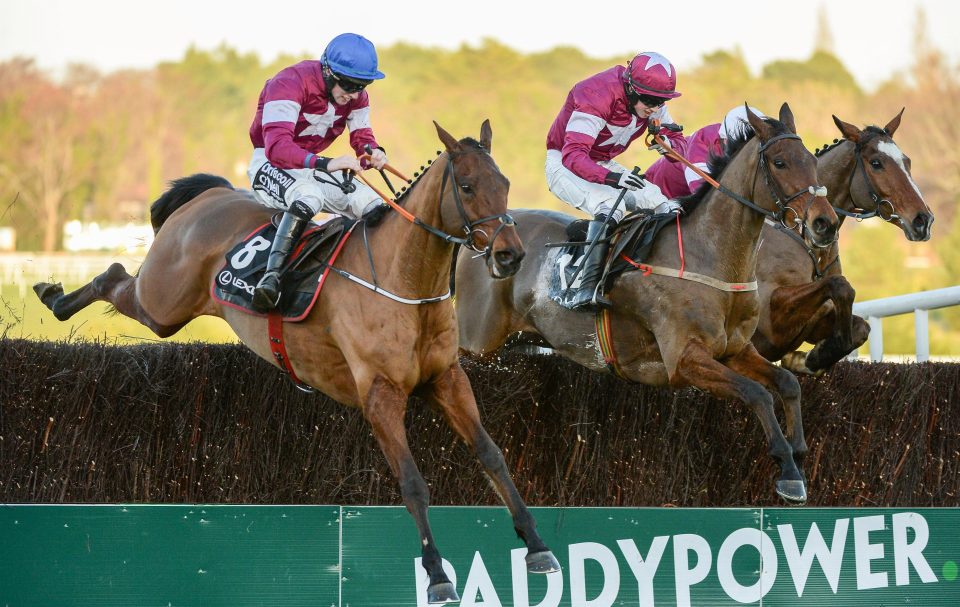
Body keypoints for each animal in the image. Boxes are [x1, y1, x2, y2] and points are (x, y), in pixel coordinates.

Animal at [37, 121, 560, 604]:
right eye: (467, 186)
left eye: (504, 182)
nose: (510, 255)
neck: (403, 280)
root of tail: (213, 194)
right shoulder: (380, 394)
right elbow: (412, 483)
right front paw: (436, 575)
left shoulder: (447, 379)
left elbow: (492, 456)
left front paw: (537, 545)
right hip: (162, 302)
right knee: (113, 274)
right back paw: (54, 296)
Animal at [454, 103, 836, 504]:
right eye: (780, 162)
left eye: (812, 159)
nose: (825, 222)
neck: (709, 255)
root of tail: (482, 237)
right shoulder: (685, 360)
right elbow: (758, 394)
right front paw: (788, 471)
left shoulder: (736, 350)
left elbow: (788, 382)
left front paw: (799, 453)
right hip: (477, 343)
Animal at [752, 110, 932, 376]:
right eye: (876, 163)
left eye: (906, 161)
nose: (923, 220)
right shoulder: (769, 323)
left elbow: (859, 328)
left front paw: (805, 359)